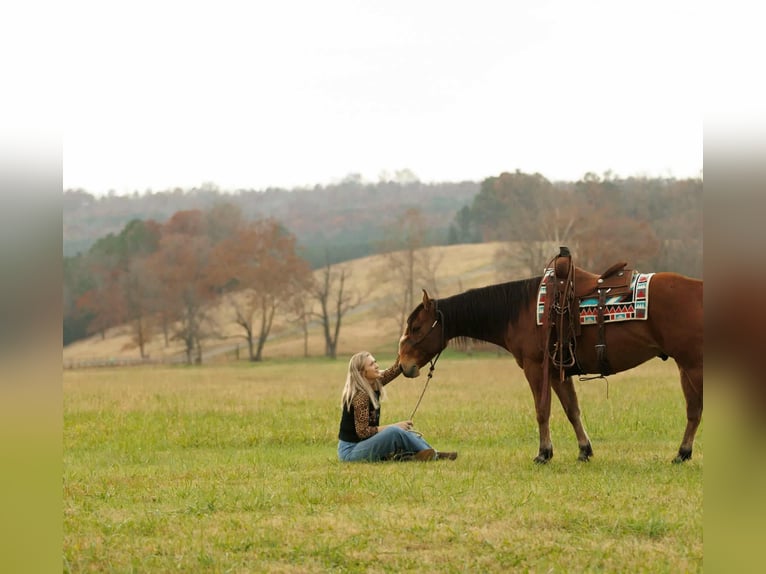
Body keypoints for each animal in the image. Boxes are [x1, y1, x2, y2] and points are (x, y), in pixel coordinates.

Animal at [397, 254, 703, 464]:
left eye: (416, 328)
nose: (403, 364)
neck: (520, 310)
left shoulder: (536, 368)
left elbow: (542, 411)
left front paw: (544, 453)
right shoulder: (558, 372)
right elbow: (572, 410)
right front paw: (584, 450)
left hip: (692, 366)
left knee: (696, 409)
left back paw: (684, 452)